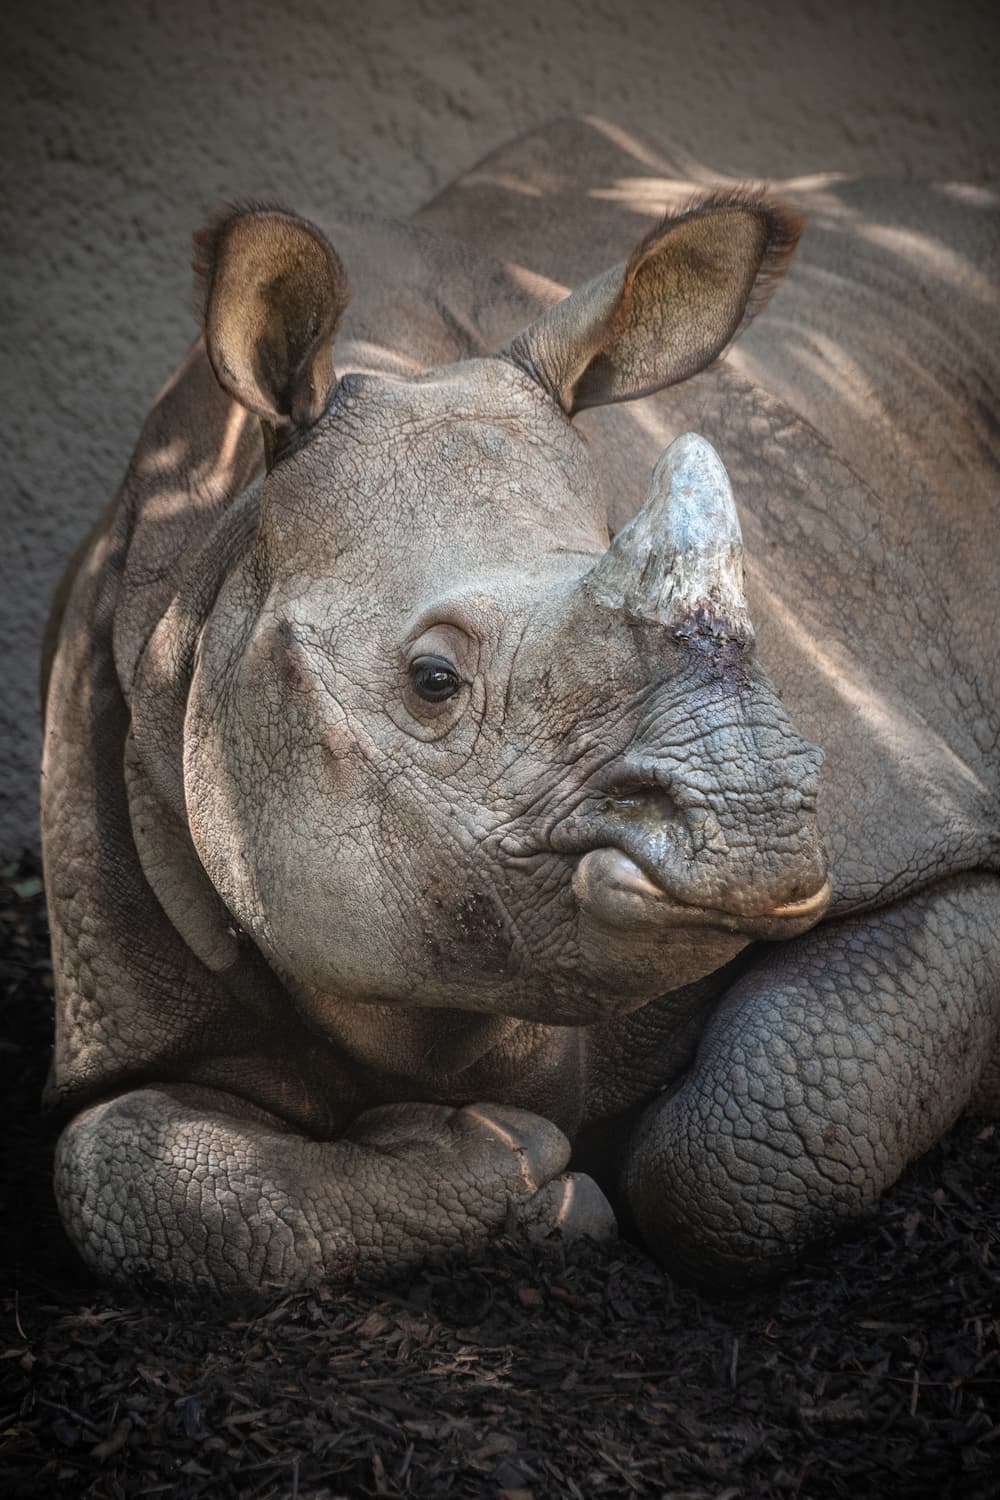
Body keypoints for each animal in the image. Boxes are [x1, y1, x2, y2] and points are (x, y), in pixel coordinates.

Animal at [41, 120, 1000, 1293]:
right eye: (433, 682)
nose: (760, 833)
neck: (222, 554)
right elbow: (127, 1169)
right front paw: (506, 1164)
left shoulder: (920, 829)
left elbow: (738, 1152)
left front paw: (543, 1173)